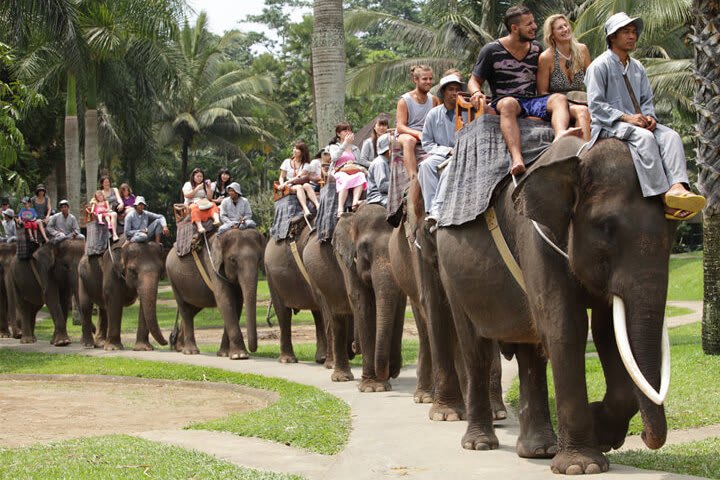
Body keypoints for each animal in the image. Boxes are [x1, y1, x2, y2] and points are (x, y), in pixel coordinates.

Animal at [165, 229, 264, 360]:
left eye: (259, 259)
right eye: (232, 260)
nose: (252, 349)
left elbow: (237, 303)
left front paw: (224, 354)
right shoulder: (212, 265)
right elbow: (225, 300)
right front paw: (240, 355)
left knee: (192, 309)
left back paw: (179, 347)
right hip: (173, 280)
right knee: (184, 308)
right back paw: (190, 351)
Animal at [334, 204, 408, 392]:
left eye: (395, 248)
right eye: (365, 251)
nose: (393, 370)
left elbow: (400, 303)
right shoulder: (349, 264)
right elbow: (363, 304)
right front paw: (373, 387)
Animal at [390, 179, 504, 420]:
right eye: (429, 229)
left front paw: (496, 413)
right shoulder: (419, 250)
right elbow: (435, 305)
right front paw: (447, 415)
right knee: (425, 325)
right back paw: (425, 397)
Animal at [436, 135, 676, 472]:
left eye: (673, 228)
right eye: (606, 227)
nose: (644, 436)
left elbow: (607, 332)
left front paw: (602, 433)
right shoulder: (536, 240)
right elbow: (565, 328)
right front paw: (582, 467)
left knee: (531, 353)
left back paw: (539, 450)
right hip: (451, 276)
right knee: (476, 350)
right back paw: (479, 444)